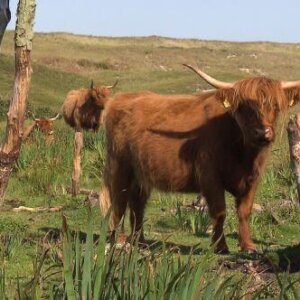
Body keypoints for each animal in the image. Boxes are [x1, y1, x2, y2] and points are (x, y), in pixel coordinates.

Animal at [100, 65, 300, 253]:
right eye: (243, 108)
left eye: (275, 106)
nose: (262, 133)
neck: (243, 155)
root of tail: (121, 98)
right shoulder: (210, 176)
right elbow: (219, 211)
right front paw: (220, 247)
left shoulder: (253, 179)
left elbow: (244, 211)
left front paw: (248, 246)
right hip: (119, 168)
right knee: (118, 205)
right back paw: (116, 242)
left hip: (141, 176)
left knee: (137, 206)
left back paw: (140, 243)